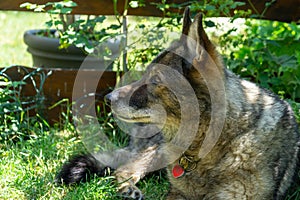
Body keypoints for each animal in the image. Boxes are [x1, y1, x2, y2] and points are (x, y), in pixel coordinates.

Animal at [56, 7, 300, 199]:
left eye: (155, 79)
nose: (108, 99)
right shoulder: (176, 193)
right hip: (157, 151)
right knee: (123, 168)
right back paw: (128, 190)